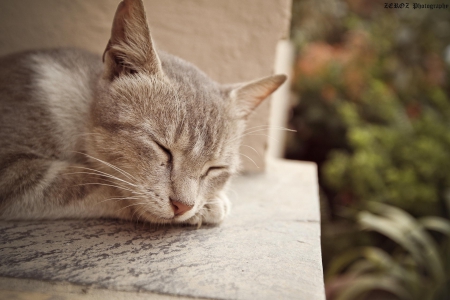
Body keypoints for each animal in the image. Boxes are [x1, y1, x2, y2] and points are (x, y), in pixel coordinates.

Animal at [0, 0, 284, 225]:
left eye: (215, 168)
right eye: (163, 149)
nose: (184, 206)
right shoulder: (11, 170)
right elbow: (94, 180)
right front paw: (212, 205)